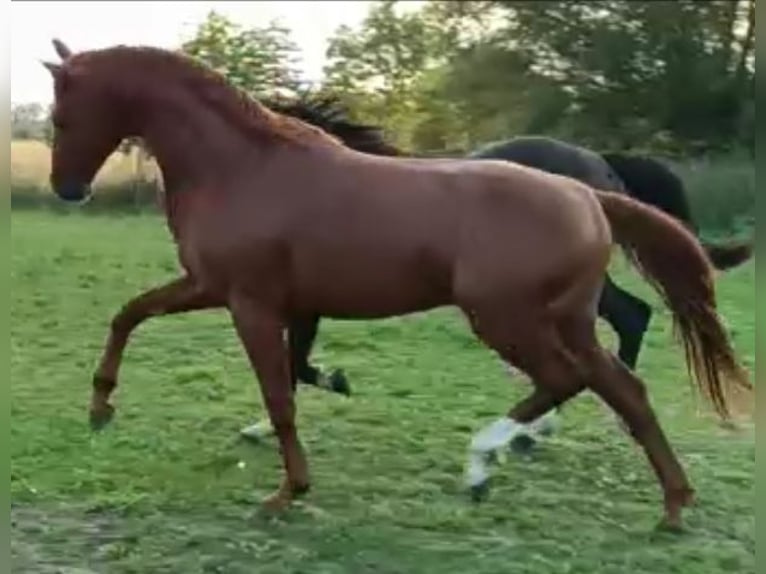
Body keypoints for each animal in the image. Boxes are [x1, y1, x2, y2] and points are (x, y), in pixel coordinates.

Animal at [232, 95, 752, 440]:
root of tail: (598, 164)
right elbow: (294, 362)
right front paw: (269, 424)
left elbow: (295, 363)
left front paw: (318, 393)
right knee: (626, 320)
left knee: (628, 318)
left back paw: (562, 422)